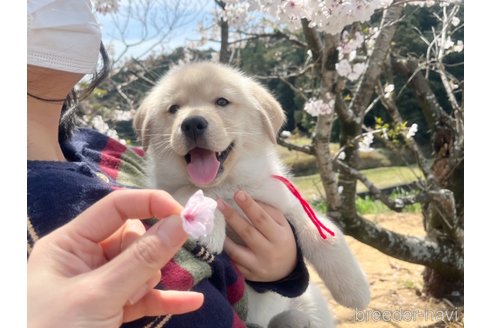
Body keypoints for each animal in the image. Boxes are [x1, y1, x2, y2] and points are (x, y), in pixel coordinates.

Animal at [133, 62, 370, 328]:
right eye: (173, 109)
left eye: (222, 102)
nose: (192, 123)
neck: (227, 186)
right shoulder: (165, 190)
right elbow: (189, 189)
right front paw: (207, 225)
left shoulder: (283, 201)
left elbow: (326, 234)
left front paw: (356, 291)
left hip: (310, 302)